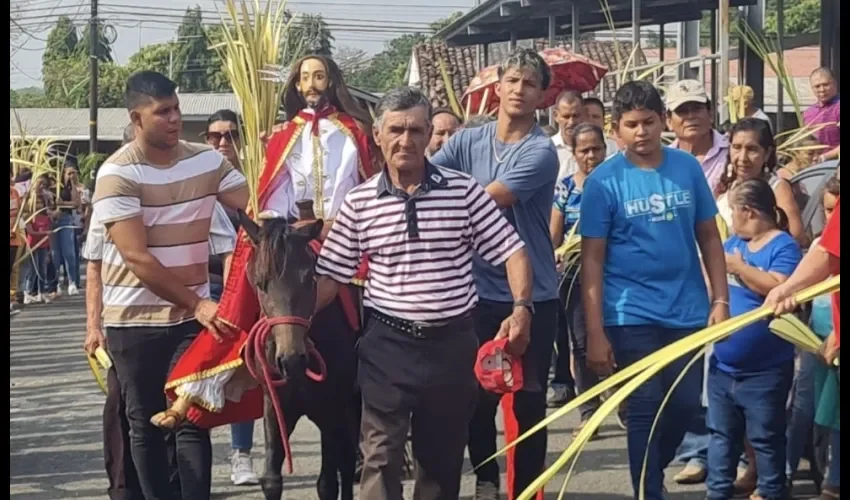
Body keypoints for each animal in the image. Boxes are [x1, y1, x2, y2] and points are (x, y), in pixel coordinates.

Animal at [238, 213, 358, 500]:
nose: (291, 360)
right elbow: (271, 480)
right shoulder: (275, 406)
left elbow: (327, 483)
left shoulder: (331, 409)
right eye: (261, 283)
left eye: (310, 279)